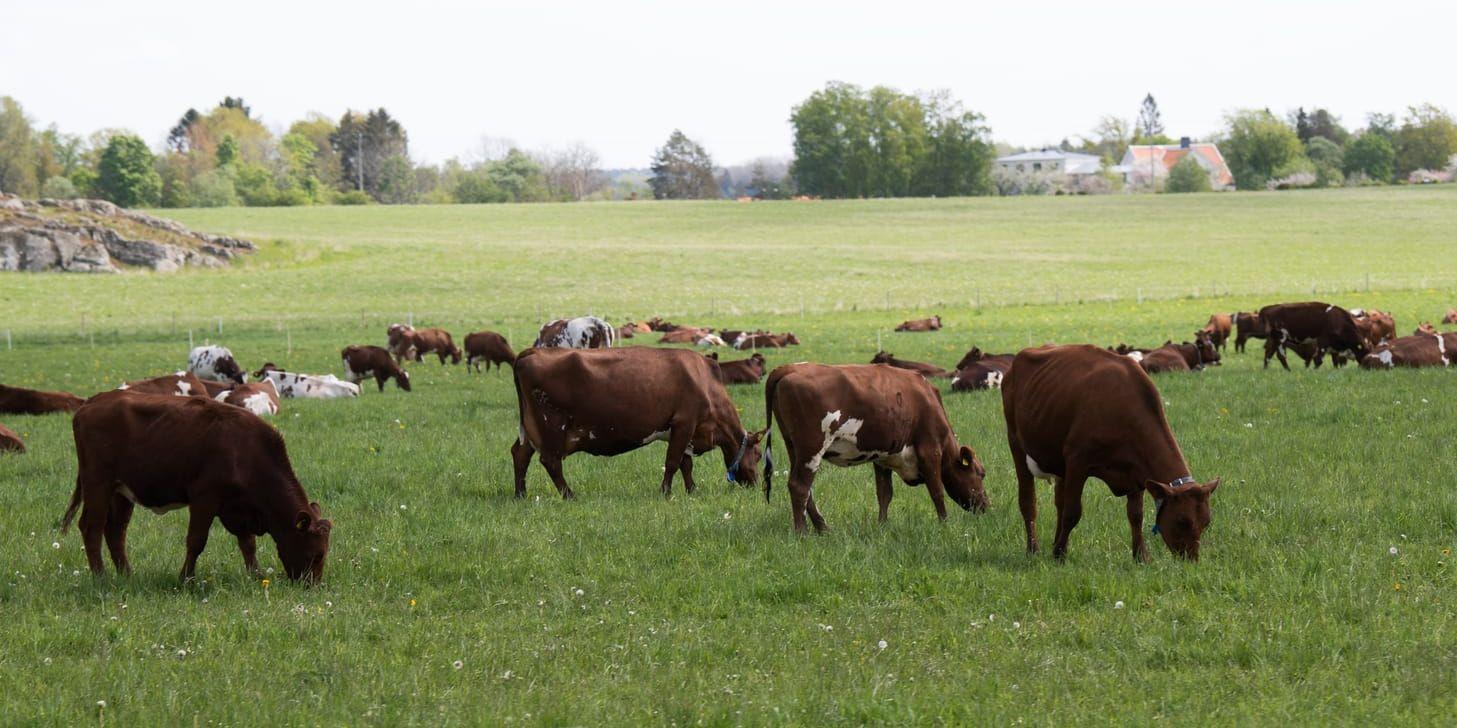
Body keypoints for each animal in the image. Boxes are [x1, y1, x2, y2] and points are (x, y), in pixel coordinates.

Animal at [59, 390, 333, 582]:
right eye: (317, 554)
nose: (311, 585)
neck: (244, 450)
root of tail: (92, 402)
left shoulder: (236, 508)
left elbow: (247, 544)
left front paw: (255, 575)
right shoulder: (205, 498)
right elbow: (196, 541)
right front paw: (186, 579)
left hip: (121, 492)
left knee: (115, 531)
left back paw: (126, 574)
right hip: (98, 483)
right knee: (92, 527)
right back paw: (100, 576)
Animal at [509, 347, 763, 500]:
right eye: (759, 455)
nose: (756, 484)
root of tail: (532, 351)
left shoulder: (680, 430)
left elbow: (685, 464)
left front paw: (691, 491)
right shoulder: (685, 422)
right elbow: (672, 462)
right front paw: (665, 493)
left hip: (531, 429)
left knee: (520, 454)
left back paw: (520, 494)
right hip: (551, 426)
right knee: (550, 461)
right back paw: (569, 495)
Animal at [763, 362, 990, 529]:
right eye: (981, 474)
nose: (986, 506)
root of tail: (788, 368)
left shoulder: (883, 456)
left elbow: (884, 494)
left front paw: (882, 525)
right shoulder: (930, 450)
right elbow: (937, 491)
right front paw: (945, 523)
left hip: (794, 448)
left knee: (806, 489)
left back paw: (822, 528)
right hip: (812, 447)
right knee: (799, 486)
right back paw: (802, 532)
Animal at [1002, 343, 1218, 559]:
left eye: (1206, 522)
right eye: (1183, 521)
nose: (1191, 559)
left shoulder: (1136, 471)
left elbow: (1135, 515)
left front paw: (1141, 556)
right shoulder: (1077, 462)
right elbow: (1072, 513)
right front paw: (1060, 555)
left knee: (1059, 503)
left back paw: (1055, 541)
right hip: (1016, 443)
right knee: (1028, 501)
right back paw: (1033, 548)